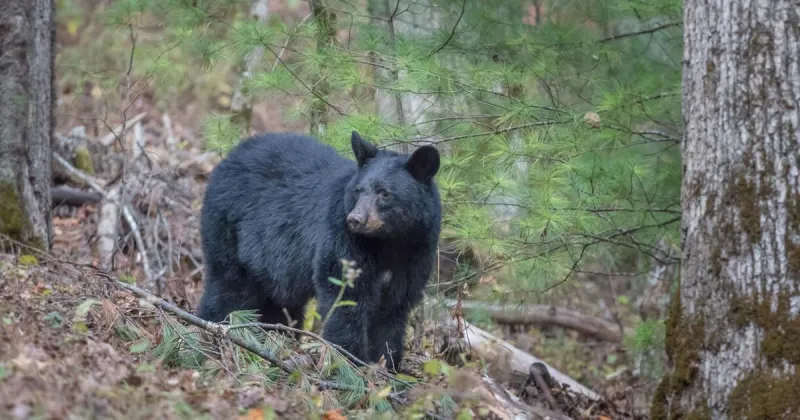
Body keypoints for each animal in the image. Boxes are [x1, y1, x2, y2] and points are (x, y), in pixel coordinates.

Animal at [196, 130, 442, 370]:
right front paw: (350, 361)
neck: (389, 243)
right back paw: (211, 336)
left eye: (384, 193)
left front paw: (386, 364)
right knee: (227, 289)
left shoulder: (416, 255)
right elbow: (345, 300)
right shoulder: (342, 239)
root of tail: (228, 158)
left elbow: (392, 310)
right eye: (358, 190)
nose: (355, 219)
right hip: (228, 233)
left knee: (279, 304)